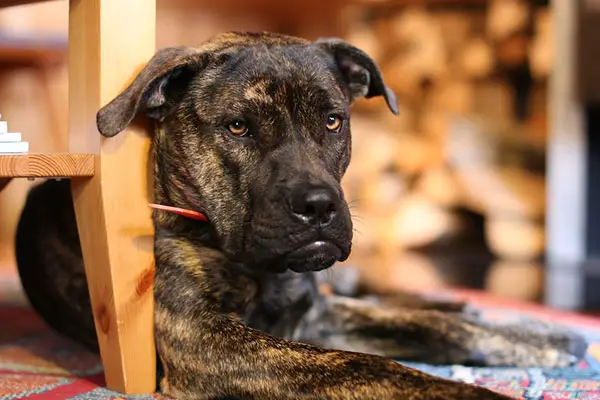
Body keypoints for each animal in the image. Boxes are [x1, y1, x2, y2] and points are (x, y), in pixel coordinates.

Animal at [14, 32, 584, 400]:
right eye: (238, 127)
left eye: (333, 121)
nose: (319, 206)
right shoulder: (203, 339)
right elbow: (366, 365)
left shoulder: (316, 312)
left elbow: (435, 329)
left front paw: (540, 339)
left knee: (391, 296)